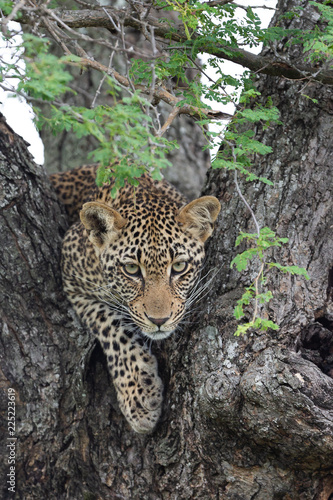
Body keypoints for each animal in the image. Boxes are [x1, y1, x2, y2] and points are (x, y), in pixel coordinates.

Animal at [50, 165, 220, 434]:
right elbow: (112, 328)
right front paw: (140, 396)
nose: (159, 320)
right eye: (131, 270)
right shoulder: (71, 278)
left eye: (179, 267)